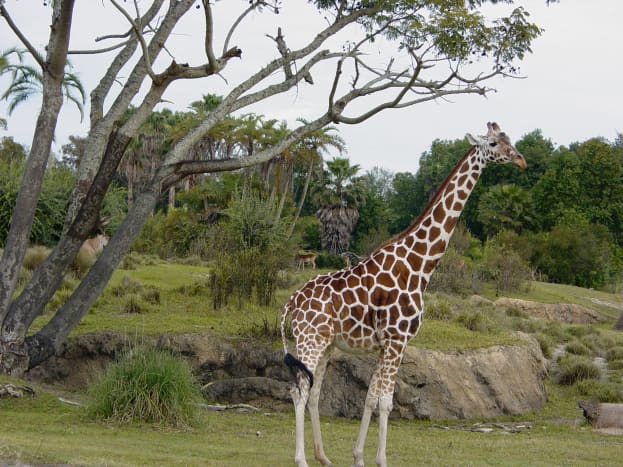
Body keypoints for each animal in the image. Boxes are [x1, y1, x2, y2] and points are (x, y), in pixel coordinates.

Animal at [280, 123, 528, 467]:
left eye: (509, 140)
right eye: (493, 143)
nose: (521, 160)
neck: (420, 265)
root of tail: (291, 303)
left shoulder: (388, 344)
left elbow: (371, 398)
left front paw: (358, 457)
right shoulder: (397, 340)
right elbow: (386, 401)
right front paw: (381, 460)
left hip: (326, 343)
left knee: (313, 391)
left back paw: (323, 457)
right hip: (310, 339)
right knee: (298, 391)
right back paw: (301, 459)